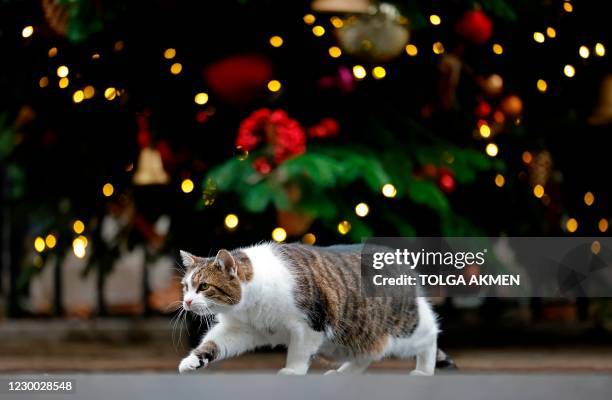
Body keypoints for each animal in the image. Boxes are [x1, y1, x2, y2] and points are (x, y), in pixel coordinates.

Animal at [177, 242, 454, 376]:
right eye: (185, 286)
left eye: (203, 286)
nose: (187, 302)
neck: (250, 303)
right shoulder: (240, 329)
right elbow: (212, 344)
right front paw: (193, 360)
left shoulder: (309, 324)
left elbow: (299, 352)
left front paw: (292, 370)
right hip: (351, 338)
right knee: (370, 352)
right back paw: (344, 373)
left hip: (404, 328)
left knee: (431, 334)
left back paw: (424, 371)